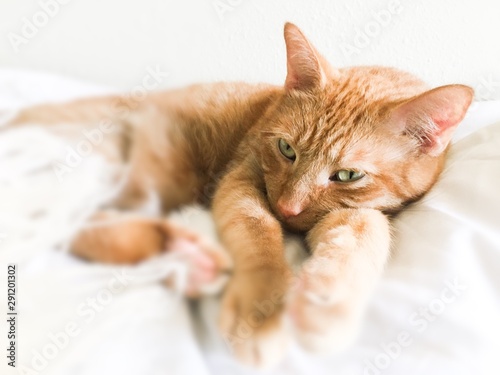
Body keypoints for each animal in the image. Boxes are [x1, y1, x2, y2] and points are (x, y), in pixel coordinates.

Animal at [9, 22, 474, 368]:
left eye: (347, 175)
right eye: (286, 149)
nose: (287, 207)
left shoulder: (360, 211)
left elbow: (365, 228)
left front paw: (328, 302)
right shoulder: (243, 180)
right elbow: (257, 232)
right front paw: (261, 312)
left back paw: (183, 255)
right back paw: (181, 255)